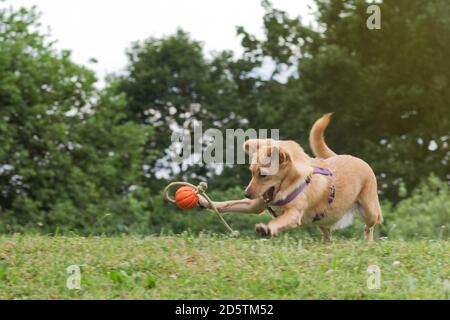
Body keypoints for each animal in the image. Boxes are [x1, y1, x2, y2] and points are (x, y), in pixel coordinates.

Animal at [200, 114, 384, 241]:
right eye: (251, 172)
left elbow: (277, 222)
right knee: (328, 232)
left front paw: (266, 229)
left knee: (371, 225)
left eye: (263, 174)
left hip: (369, 210)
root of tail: (354, 157)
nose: (246, 193)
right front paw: (203, 200)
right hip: (325, 220)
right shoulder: (255, 205)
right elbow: (226, 204)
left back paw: (368, 242)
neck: (288, 185)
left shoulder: (294, 214)